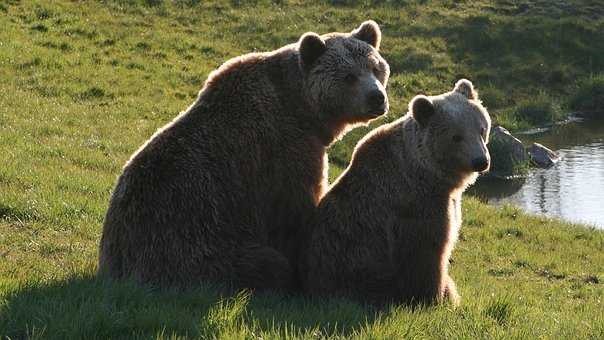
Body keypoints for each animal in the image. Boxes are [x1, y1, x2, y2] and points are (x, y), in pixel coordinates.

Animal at [98, 20, 392, 290]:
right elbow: (295, 212)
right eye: (349, 76)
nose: (376, 97)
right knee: (265, 263)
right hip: (196, 244)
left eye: (375, 68)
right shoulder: (286, 150)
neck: (303, 109)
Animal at [304, 79, 494, 306]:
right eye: (457, 136)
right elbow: (426, 254)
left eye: (481, 129)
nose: (481, 161)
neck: (429, 174)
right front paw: (436, 298)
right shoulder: (417, 205)